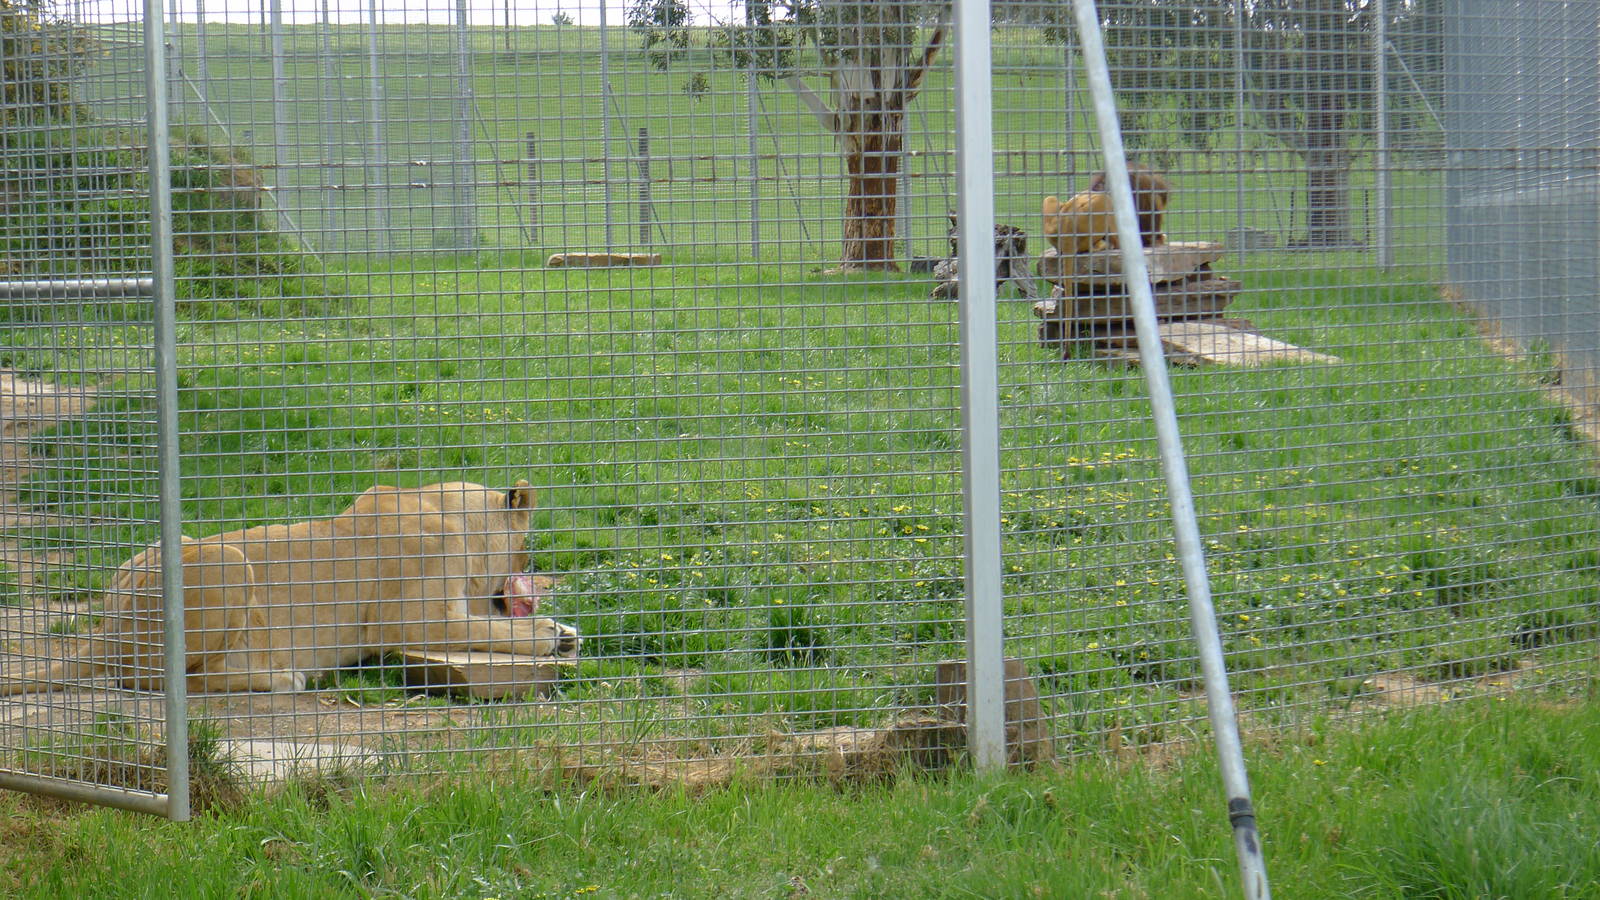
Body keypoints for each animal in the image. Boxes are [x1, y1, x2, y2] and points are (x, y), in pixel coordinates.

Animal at [1, 480, 579, 695]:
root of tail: (102, 631)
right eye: (527, 551)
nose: (534, 573)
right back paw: (286, 676)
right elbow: (490, 630)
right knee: (163, 681)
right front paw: (554, 634)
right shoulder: (406, 620)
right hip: (229, 561)